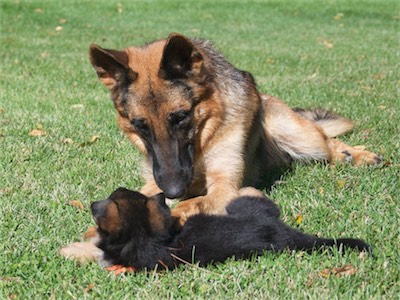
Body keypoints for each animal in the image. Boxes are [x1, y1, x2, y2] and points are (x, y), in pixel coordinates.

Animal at [89, 32, 380, 223]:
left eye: (181, 117)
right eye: (141, 125)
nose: (173, 190)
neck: (202, 142)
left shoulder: (225, 188)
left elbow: (186, 206)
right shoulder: (154, 181)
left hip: (301, 138)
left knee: (327, 141)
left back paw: (356, 155)